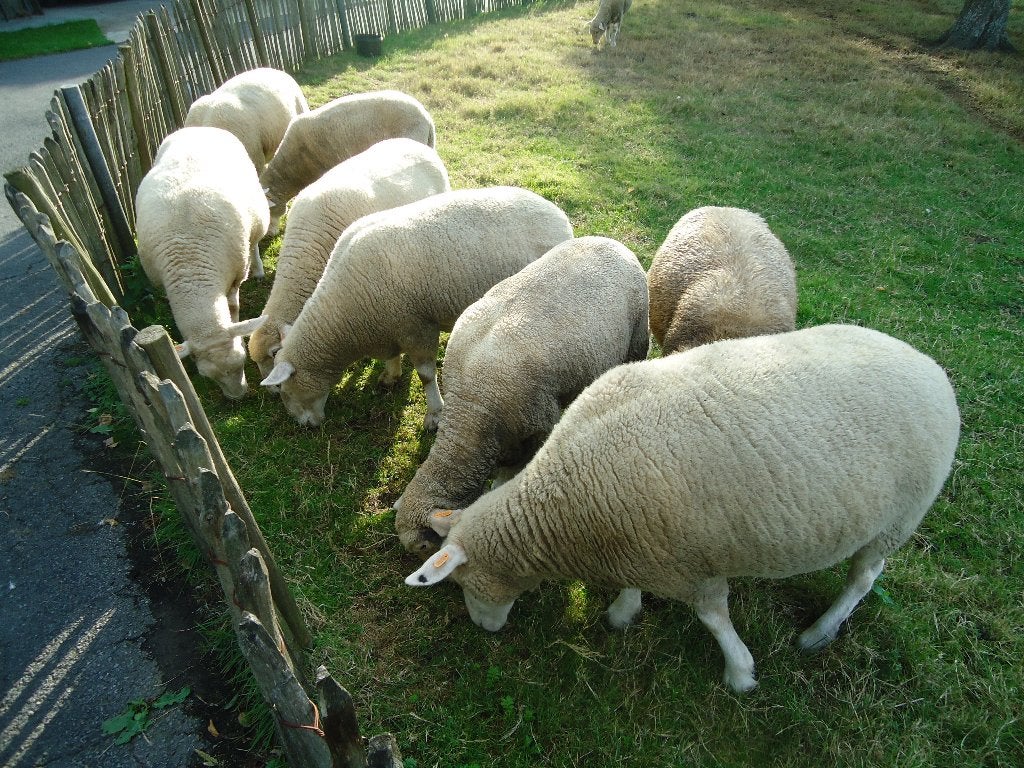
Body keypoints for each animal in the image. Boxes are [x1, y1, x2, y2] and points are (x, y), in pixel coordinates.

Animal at [135, 126, 270, 399]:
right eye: (207, 377)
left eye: (242, 360)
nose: (238, 397)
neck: (190, 267)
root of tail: (197, 127)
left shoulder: (235, 277)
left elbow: (233, 308)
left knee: (254, 243)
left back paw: (259, 268)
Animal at [259, 186, 574, 429]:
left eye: (282, 388)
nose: (305, 426)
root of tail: (559, 217)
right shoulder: (390, 324)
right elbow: (392, 357)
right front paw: (390, 375)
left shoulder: (417, 326)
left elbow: (425, 375)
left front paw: (435, 414)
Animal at [405, 323, 961, 693]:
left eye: (462, 584)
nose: (485, 630)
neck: (566, 503)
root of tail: (929, 367)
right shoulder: (641, 546)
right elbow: (633, 588)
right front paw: (622, 613)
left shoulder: (691, 564)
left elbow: (714, 618)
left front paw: (741, 673)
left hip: (897, 520)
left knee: (862, 579)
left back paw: (818, 634)